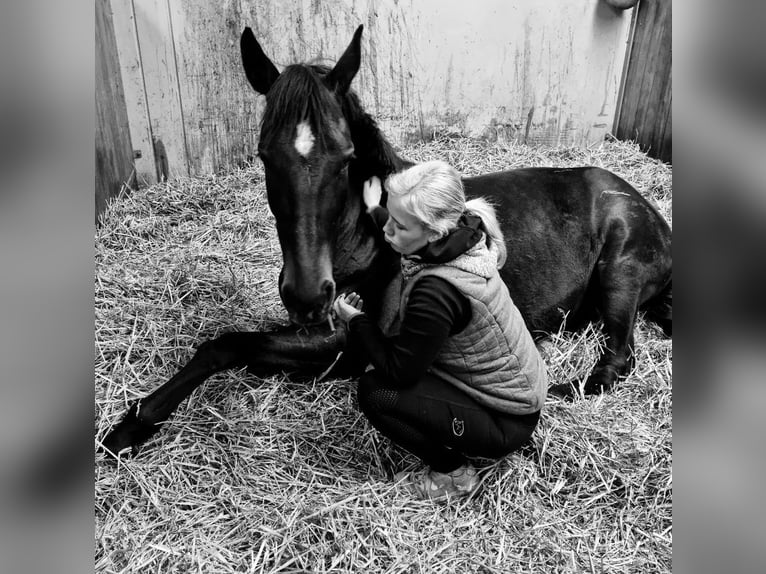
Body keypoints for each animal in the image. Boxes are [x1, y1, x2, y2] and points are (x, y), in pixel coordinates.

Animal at [102, 24, 672, 460]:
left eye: (345, 158)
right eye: (264, 155)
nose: (307, 295)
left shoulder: (352, 343)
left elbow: (231, 345)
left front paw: (131, 425)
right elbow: (228, 345)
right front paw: (131, 424)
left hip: (620, 277)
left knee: (619, 357)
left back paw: (564, 385)